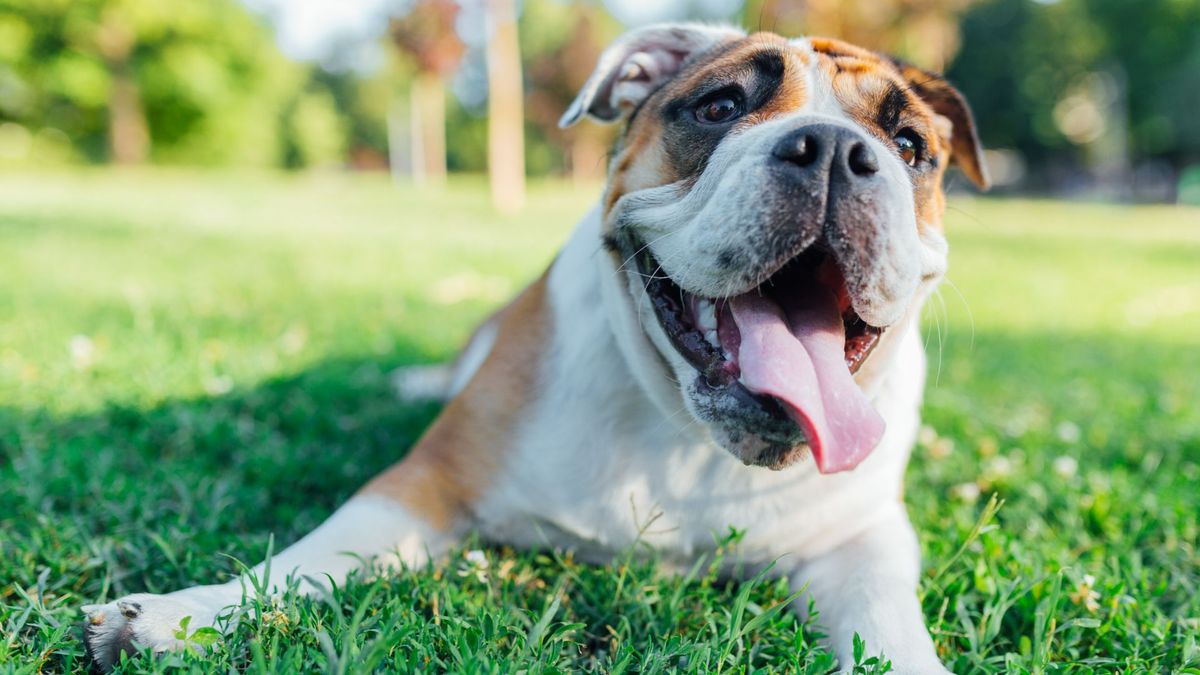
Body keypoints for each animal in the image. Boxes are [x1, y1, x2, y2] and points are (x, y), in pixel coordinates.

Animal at [82, 23, 984, 667]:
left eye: (911, 148)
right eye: (720, 107)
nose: (832, 147)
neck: (685, 435)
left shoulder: (860, 539)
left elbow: (887, 623)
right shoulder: (425, 484)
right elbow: (310, 555)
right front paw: (184, 612)